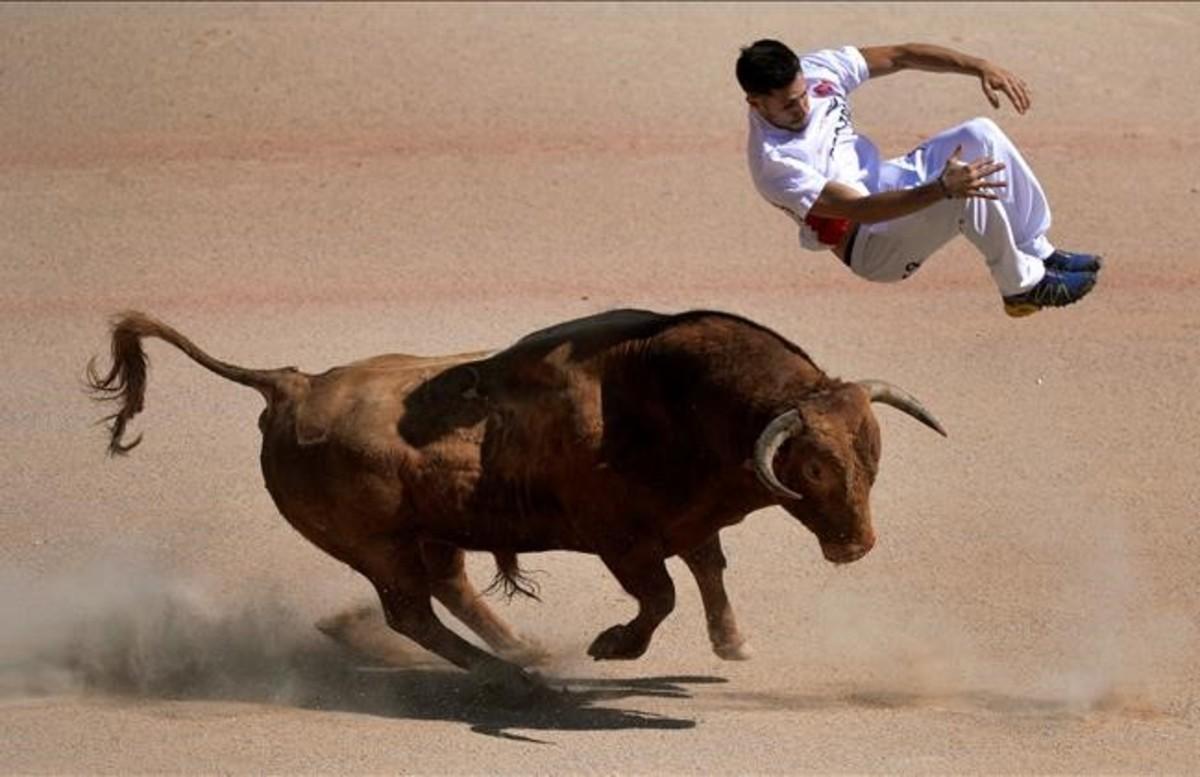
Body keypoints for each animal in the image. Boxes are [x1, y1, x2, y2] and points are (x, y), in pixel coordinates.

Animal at [88, 306, 940, 690]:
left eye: (873, 453)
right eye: (814, 467)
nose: (855, 544)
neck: (669, 394)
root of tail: (290, 385)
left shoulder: (686, 522)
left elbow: (707, 571)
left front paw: (734, 644)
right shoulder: (621, 540)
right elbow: (661, 595)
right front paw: (613, 646)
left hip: (431, 531)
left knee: (449, 588)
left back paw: (523, 651)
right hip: (374, 545)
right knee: (411, 611)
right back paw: (514, 677)